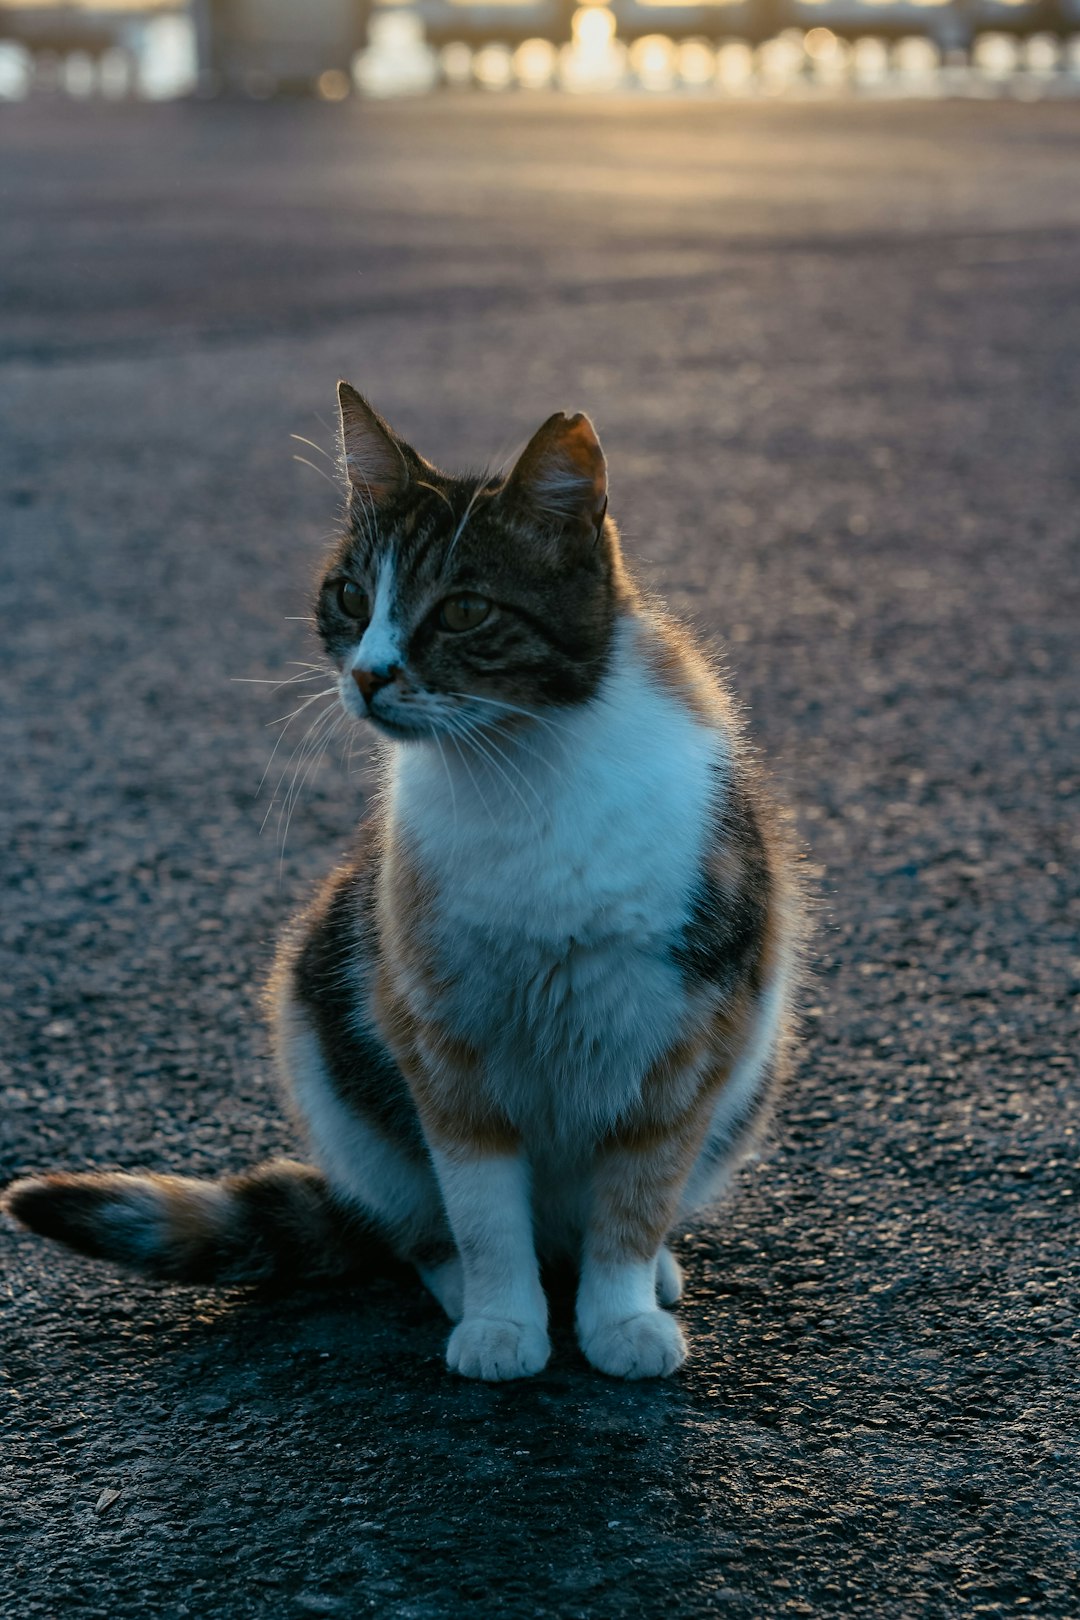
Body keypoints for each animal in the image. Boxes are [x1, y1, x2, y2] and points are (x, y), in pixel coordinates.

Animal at [2, 379, 803, 1380]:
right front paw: (502, 1323)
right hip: (330, 1049)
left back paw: (643, 1273)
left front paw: (619, 1314)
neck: (519, 771)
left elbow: (639, 1191)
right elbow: (483, 1209)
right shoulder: (439, 1037)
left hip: (747, 1077)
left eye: (462, 611)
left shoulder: (688, 1034)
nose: (370, 674)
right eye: (350, 595)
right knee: (418, 1225)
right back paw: (465, 1283)